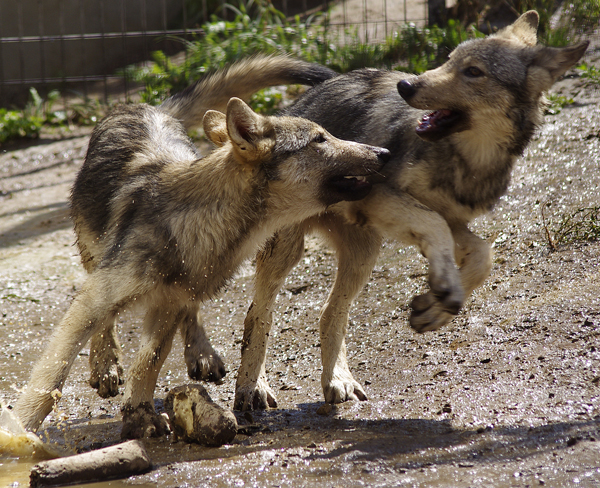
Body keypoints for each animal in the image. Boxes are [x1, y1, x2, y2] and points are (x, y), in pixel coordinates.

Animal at [14, 93, 392, 436]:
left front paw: (139, 415)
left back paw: (202, 354)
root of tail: (146, 106)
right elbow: (53, 377)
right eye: (320, 139)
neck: (201, 222)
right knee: (104, 322)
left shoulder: (169, 303)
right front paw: (21, 429)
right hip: (95, 261)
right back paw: (105, 365)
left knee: (192, 314)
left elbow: (149, 362)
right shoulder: (101, 296)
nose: (384, 153)